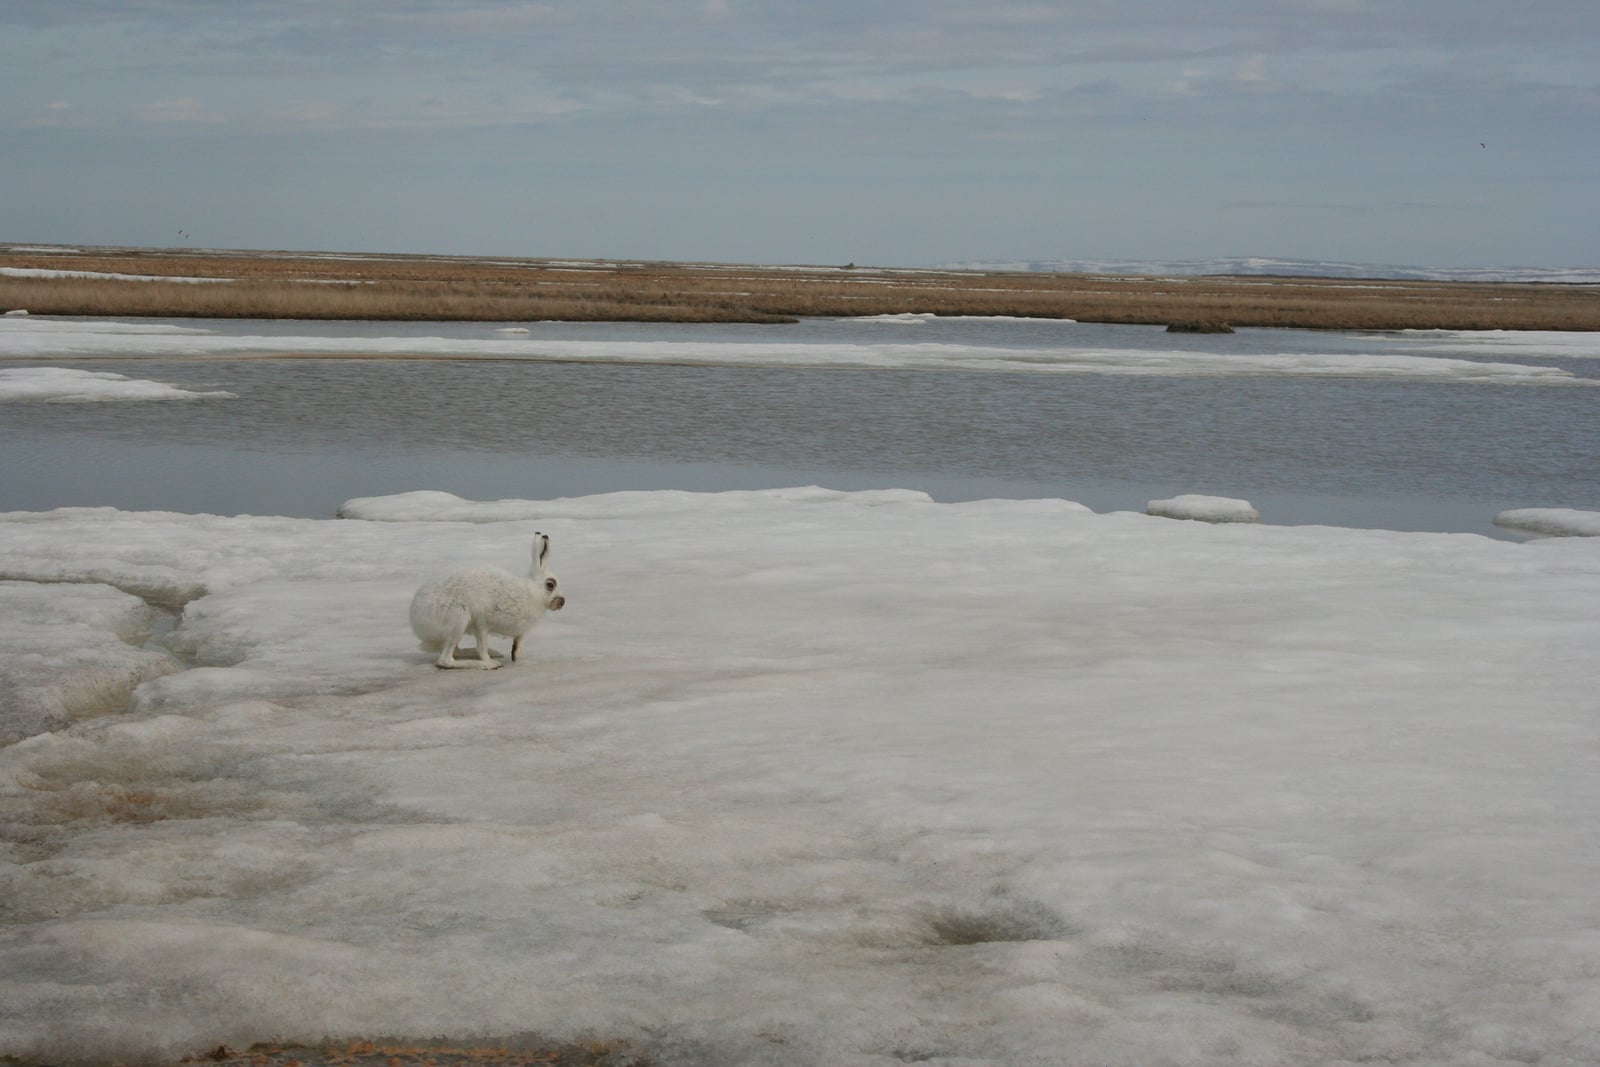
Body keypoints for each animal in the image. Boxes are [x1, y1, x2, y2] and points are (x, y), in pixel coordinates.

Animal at [409, 532, 566, 669]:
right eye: (550, 585)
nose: (562, 602)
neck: (531, 592)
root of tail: (416, 624)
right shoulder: (482, 623)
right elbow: (482, 646)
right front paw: (489, 661)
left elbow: (518, 638)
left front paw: (515, 653)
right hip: (458, 617)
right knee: (445, 660)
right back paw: (486, 664)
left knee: (456, 652)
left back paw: (492, 653)